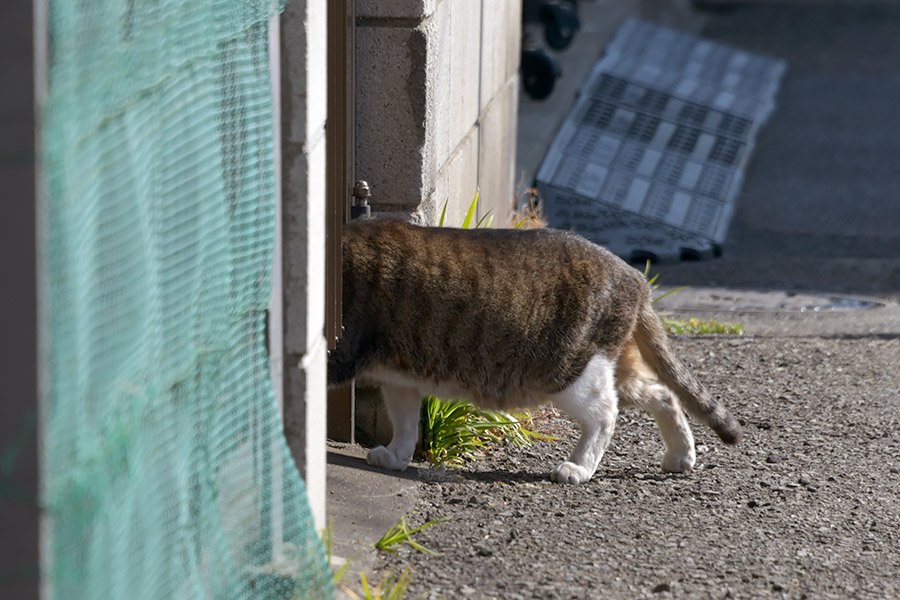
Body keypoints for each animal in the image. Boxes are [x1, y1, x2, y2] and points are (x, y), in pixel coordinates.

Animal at [326, 219, 740, 482]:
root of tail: (635, 277)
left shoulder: (339, 352)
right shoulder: (400, 376)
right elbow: (406, 423)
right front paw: (396, 456)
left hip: (568, 370)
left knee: (605, 415)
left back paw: (579, 468)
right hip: (612, 366)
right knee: (664, 393)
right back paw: (681, 455)